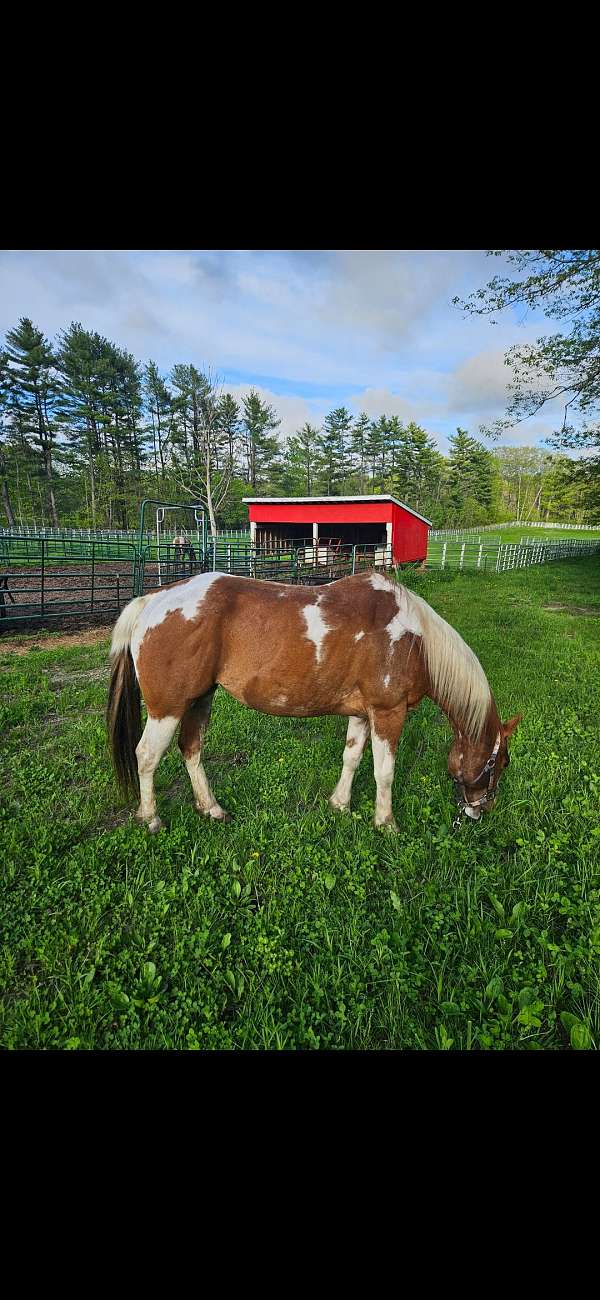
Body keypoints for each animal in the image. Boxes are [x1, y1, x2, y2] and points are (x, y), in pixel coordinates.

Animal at [106, 569, 521, 833]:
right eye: (501, 762)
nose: (480, 811)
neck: (414, 640)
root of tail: (153, 600)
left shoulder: (363, 713)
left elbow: (351, 757)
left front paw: (340, 804)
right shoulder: (389, 712)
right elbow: (384, 771)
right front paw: (386, 823)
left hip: (199, 699)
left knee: (191, 748)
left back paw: (211, 809)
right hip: (168, 707)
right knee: (147, 755)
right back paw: (150, 818)